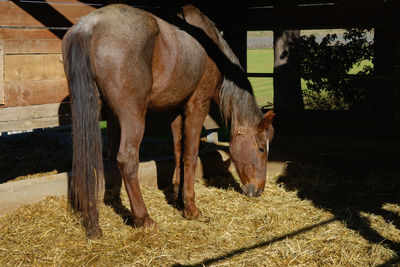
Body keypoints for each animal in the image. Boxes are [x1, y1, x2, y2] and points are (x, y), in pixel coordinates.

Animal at [61, 3, 276, 239]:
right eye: (261, 149)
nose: (258, 190)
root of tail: (89, 25)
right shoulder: (197, 105)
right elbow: (191, 154)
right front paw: (191, 208)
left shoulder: (175, 111)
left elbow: (178, 152)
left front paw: (178, 198)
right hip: (133, 115)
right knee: (127, 160)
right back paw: (144, 218)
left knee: (88, 162)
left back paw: (93, 225)